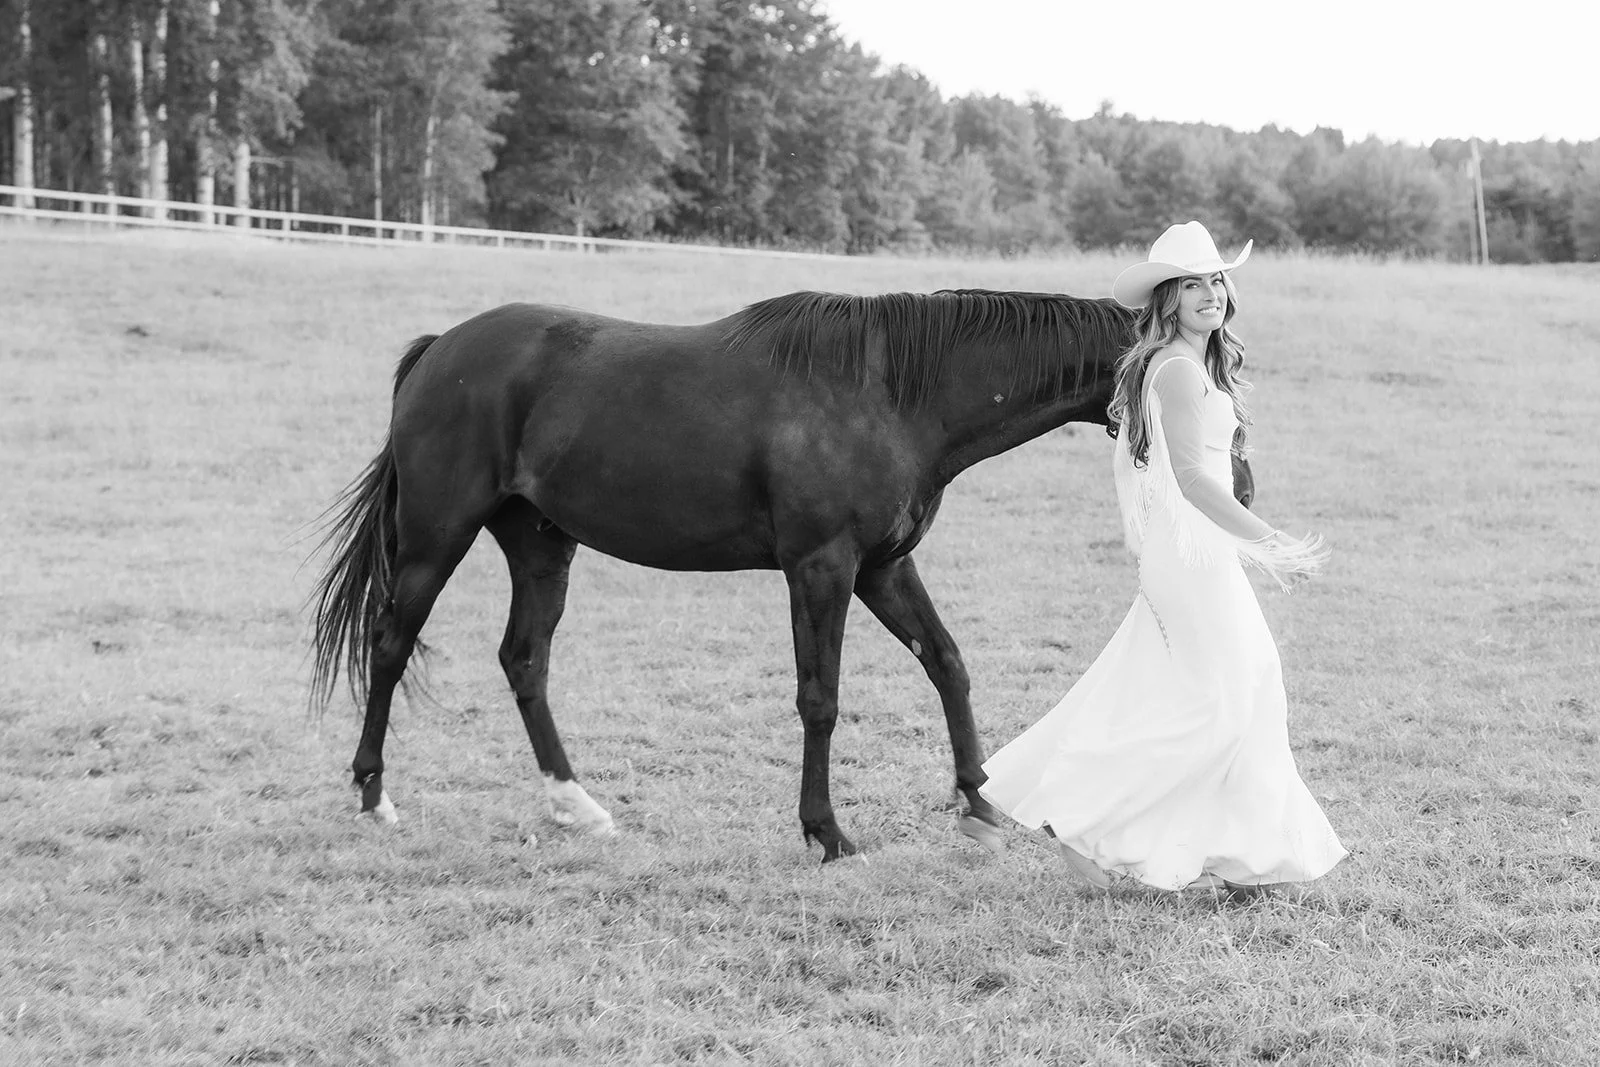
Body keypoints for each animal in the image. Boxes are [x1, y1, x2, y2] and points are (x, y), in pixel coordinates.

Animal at [308, 288, 1255, 862]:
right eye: (1206, 396)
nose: (1239, 490)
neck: (893, 394)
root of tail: (442, 348)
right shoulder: (822, 567)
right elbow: (820, 697)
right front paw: (825, 831)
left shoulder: (884, 567)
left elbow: (948, 663)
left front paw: (979, 802)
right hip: (437, 534)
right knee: (390, 643)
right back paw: (373, 796)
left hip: (541, 543)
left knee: (524, 660)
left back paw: (574, 804)